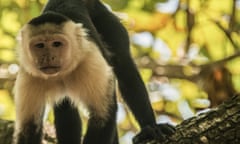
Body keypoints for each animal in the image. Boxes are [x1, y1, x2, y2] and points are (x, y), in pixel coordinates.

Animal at [13, 0, 174, 144]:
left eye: (56, 44)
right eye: (39, 45)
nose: (48, 57)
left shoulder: (91, 61)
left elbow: (102, 117)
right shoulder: (29, 75)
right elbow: (28, 129)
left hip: (105, 16)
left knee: (124, 65)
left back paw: (150, 128)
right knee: (64, 104)